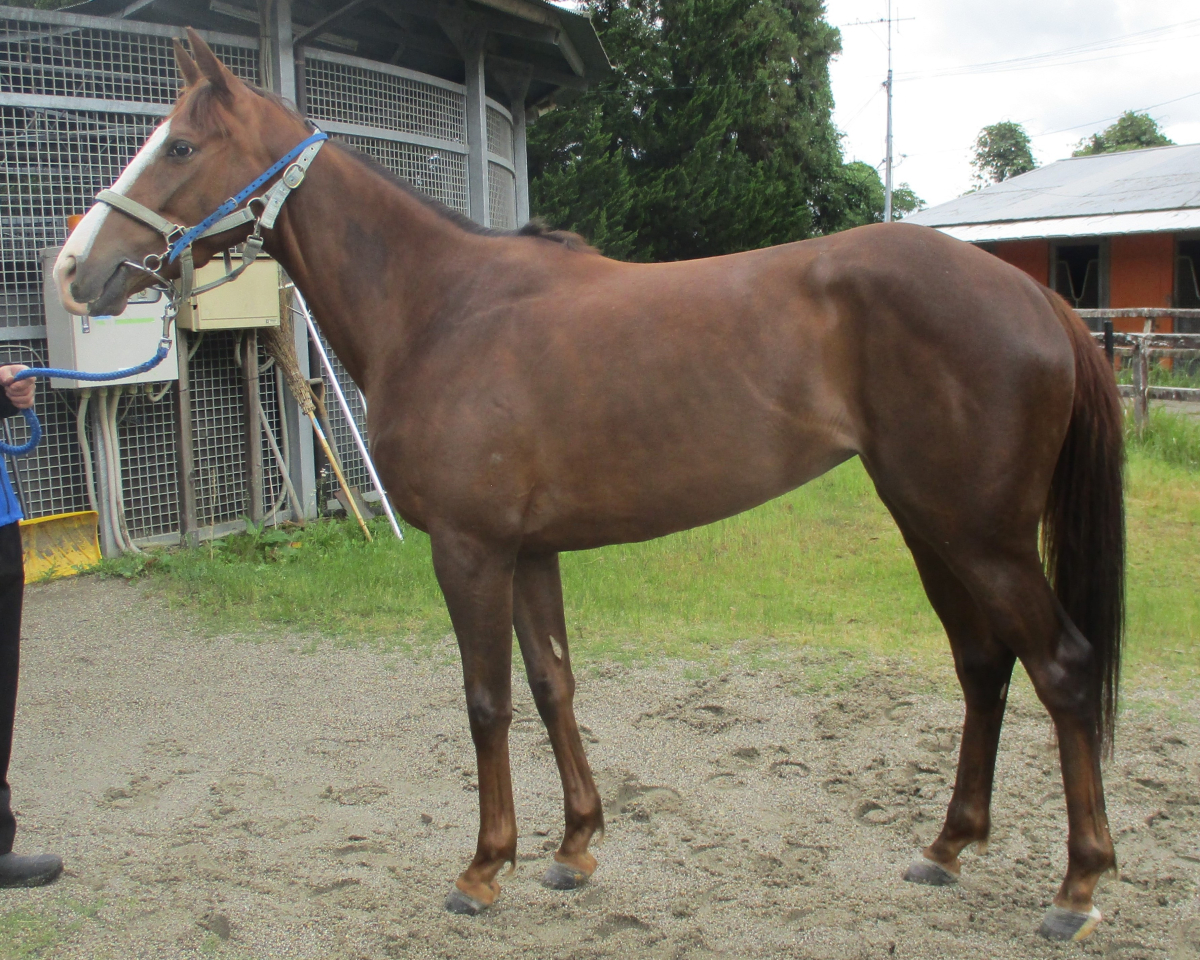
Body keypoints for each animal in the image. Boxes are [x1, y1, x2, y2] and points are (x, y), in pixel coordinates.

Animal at [53, 30, 1125, 942]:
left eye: (179, 144)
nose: (73, 271)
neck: (441, 307)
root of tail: (1037, 297)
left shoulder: (471, 550)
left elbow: (486, 699)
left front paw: (483, 868)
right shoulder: (530, 550)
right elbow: (552, 682)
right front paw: (574, 847)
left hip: (980, 534)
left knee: (1062, 669)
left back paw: (1077, 888)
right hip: (929, 523)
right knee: (983, 666)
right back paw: (947, 847)